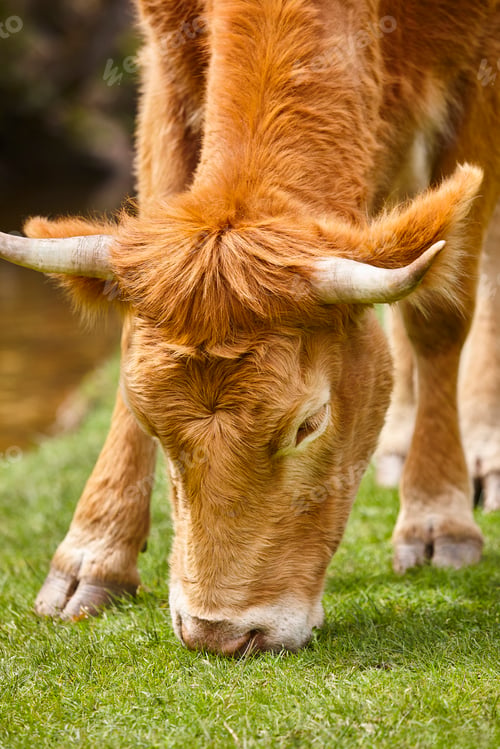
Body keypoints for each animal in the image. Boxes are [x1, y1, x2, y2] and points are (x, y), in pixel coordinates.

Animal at [1, 0, 499, 655]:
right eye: (150, 418)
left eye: (309, 424)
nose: (218, 632)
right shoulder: (166, 60)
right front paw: (93, 551)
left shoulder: (478, 62)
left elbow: (441, 310)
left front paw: (438, 517)